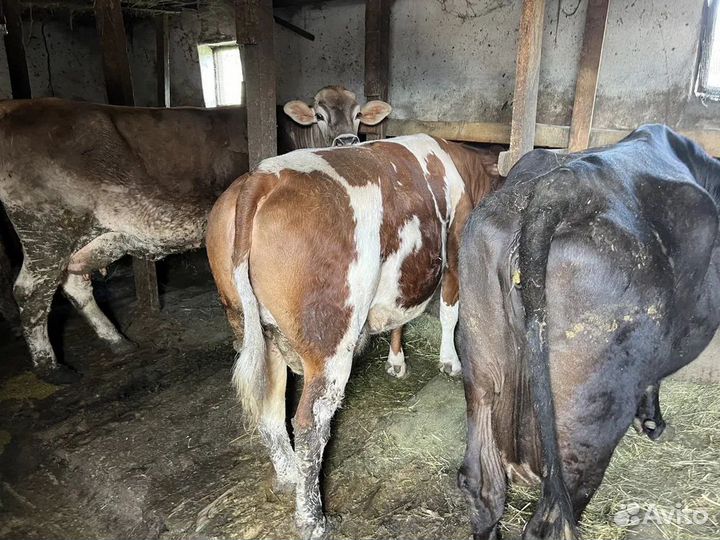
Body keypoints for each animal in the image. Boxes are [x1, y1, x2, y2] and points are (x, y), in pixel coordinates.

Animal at [0, 86, 391, 382]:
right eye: (320, 115)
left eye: (358, 114)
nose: (346, 140)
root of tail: (14, 107)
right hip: (45, 228)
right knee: (29, 291)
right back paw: (51, 368)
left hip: (84, 238)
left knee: (74, 284)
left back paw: (116, 340)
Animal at [205, 134, 502, 539]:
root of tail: (263, 177)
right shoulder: (454, 254)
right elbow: (449, 311)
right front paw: (449, 363)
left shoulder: (400, 277)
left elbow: (399, 317)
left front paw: (397, 362)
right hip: (330, 339)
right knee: (310, 422)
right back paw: (313, 519)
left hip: (254, 329)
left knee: (270, 407)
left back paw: (287, 475)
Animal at [456, 124, 720, 540]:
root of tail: (562, 186)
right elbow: (655, 379)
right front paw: (653, 422)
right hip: (590, 418)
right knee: (552, 518)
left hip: (481, 372)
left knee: (481, 484)